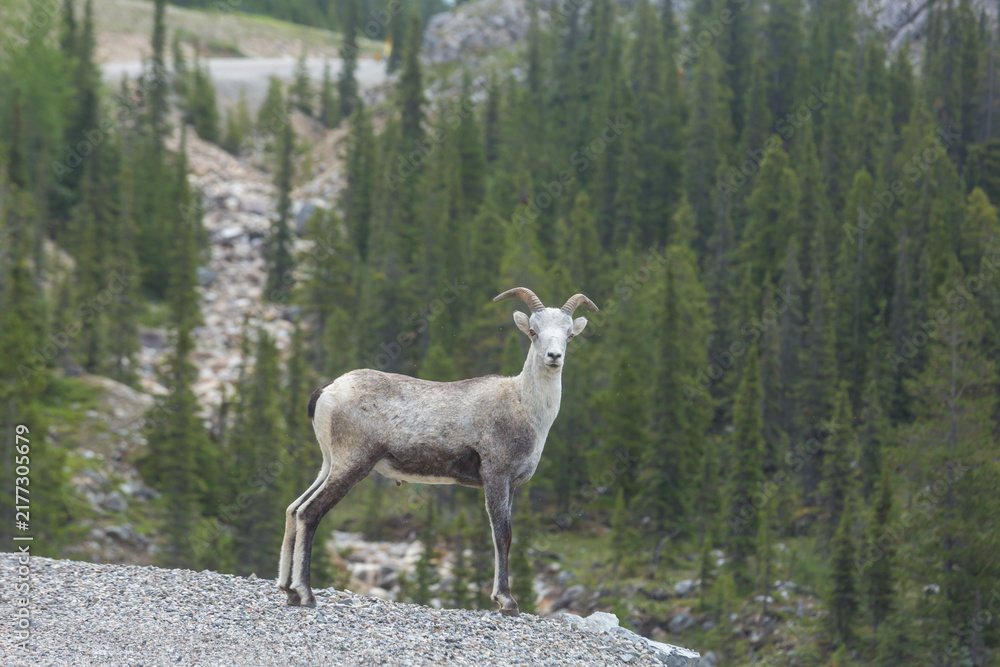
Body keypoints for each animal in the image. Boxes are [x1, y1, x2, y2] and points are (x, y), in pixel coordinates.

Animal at [277, 287, 599, 615]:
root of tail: (326, 391)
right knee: (309, 512)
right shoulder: (496, 477)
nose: (554, 357)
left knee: (293, 508)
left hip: (329, 465)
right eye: (533, 332)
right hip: (351, 466)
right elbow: (502, 534)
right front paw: (507, 601)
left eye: (569, 335)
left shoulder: (512, 486)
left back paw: (288, 591)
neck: (524, 407)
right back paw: (305, 594)